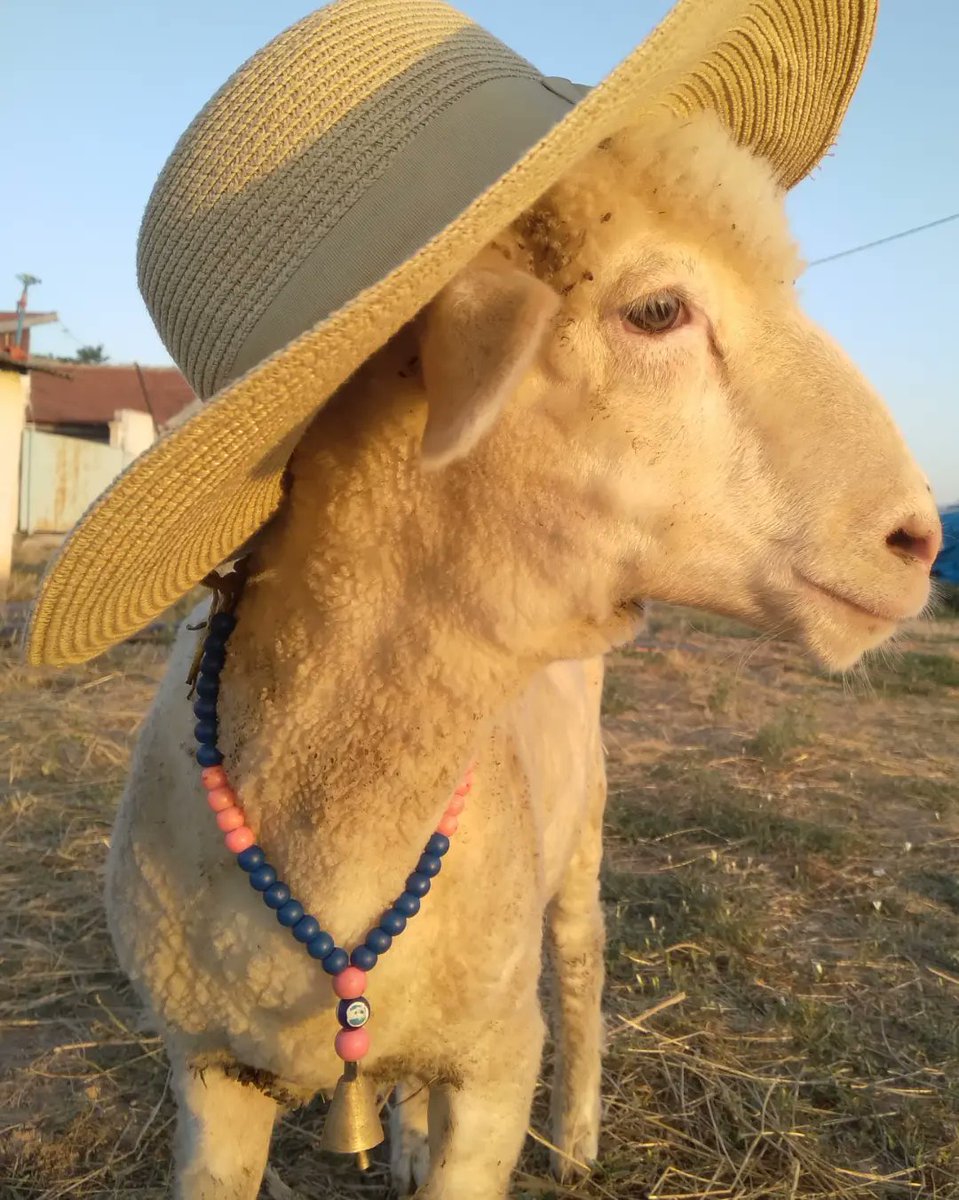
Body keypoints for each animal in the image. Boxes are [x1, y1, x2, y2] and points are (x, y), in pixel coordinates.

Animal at [105, 110, 941, 1200]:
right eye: (658, 310)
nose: (919, 539)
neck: (343, 837)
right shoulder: (208, 1073)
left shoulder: (499, 1065)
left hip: (579, 841)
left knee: (582, 976)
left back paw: (577, 1136)